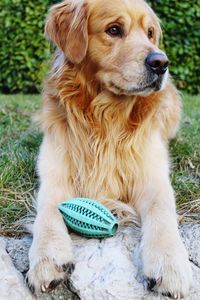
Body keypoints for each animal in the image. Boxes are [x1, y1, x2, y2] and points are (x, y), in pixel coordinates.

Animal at [26, 0, 192, 296]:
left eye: (150, 33)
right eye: (114, 29)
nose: (161, 63)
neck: (107, 117)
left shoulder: (153, 176)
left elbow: (163, 211)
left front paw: (170, 263)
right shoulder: (53, 173)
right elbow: (47, 212)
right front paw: (47, 257)